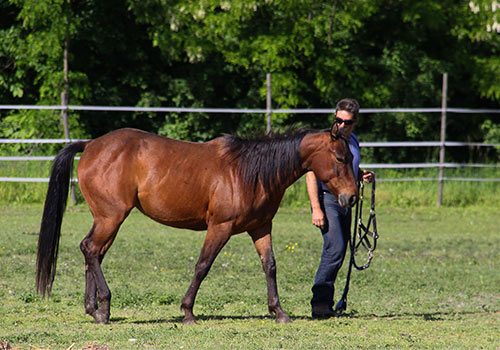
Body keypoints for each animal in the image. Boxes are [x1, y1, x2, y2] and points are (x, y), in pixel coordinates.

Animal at [35, 124, 358, 324]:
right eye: (340, 157)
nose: (352, 197)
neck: (248, 172)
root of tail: (91, 145)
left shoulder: (261, 227)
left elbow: (270, 266)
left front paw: (278, 311)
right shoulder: (220, 227)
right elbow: (203, 266)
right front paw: (188, 311)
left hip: (106, 219)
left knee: (93, 253)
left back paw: (95, 310)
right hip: (111, 218)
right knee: (91, 250)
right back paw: (102, 306)